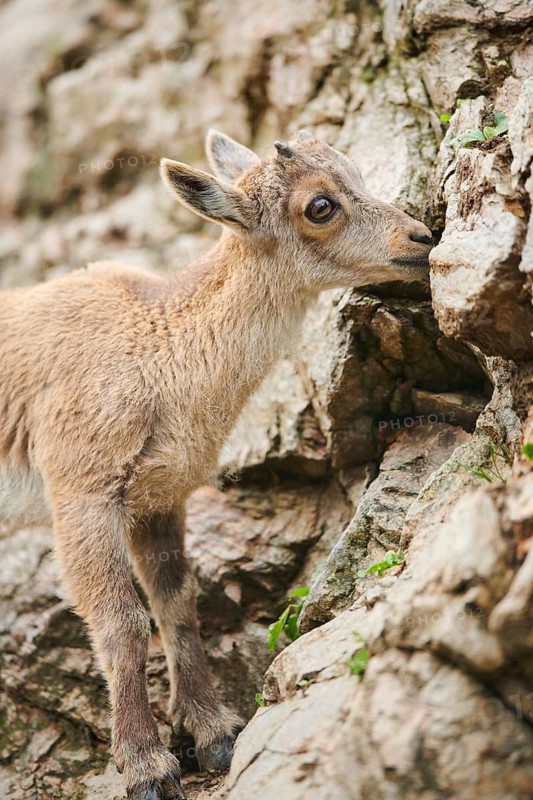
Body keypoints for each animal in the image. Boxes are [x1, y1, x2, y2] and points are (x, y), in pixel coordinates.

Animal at [0, 130, 433, 800]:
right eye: (320, 206)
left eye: (355, 171)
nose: (422, 238)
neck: (159, 352)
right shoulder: (82, 489)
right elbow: (122, 619)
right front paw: (147, 766)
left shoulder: (159, 496)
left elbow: (176, 601)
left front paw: (213, 732)